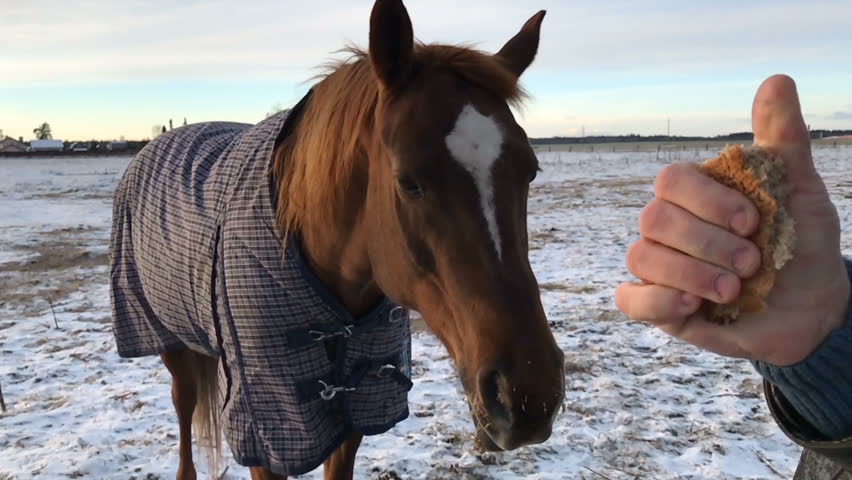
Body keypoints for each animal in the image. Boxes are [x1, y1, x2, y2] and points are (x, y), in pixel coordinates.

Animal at [109, 1, 565, 478]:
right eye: (408, 182)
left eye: (530, 170)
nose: (529, 395)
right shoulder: (268, 426)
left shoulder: (357, 401)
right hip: (168, 339)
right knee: (184, 404)